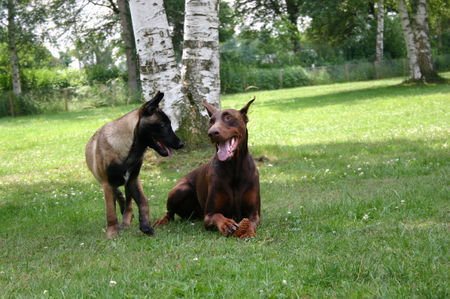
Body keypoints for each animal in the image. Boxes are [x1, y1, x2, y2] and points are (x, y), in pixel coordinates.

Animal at [85, 91, 184, 239]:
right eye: (163, 125)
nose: (181, 144)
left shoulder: (133, 180)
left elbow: (143, 201)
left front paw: (145, 225)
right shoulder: (107, 183)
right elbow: (110, 211)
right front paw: (112, 233)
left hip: (127, 184)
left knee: (128, 203)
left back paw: (126, 220)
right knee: (118, 195)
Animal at [156, 99, 258, 239]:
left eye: (228, 117)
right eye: (211, 121)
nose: (211, 133)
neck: (234, 168)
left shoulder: (254, 212)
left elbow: (252, 221)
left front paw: (247, 231)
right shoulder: (208, 215)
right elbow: (217, 215)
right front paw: (226, 224)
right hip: (181, 189)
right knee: (169, 213)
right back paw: (162, 221)